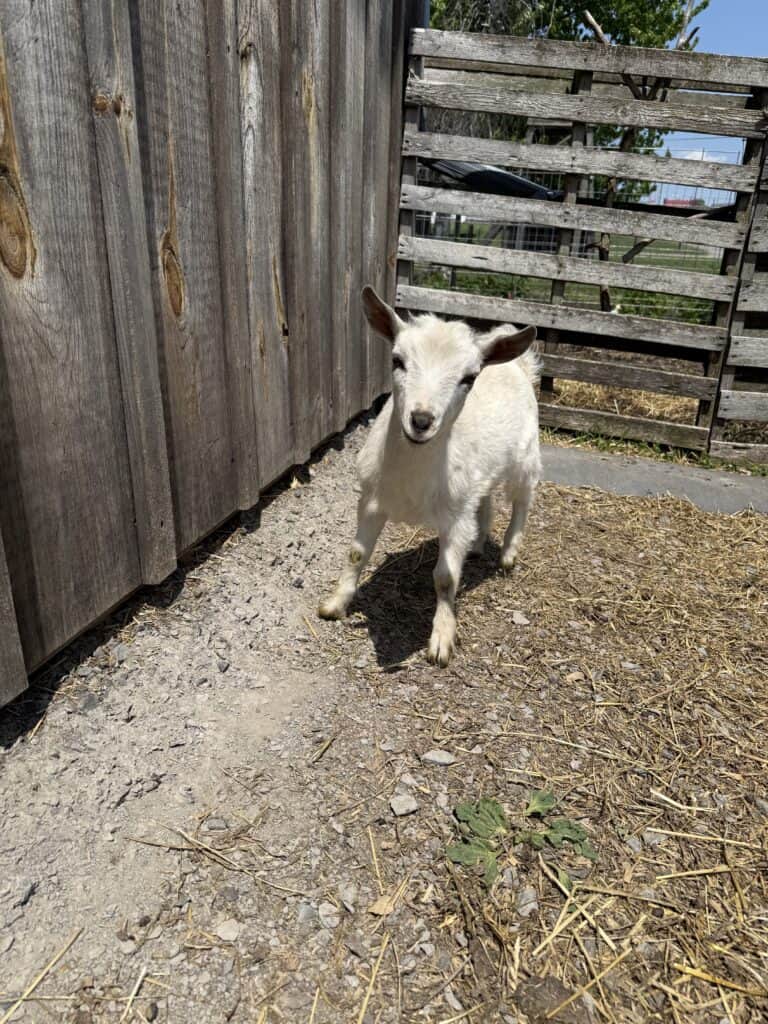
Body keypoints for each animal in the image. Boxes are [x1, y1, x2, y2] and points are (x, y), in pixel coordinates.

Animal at [318, 286, 541, 666]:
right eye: (397, 360)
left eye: (469, 377)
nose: (421, 420)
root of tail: (518, 365)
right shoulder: (371, 499)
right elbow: (356, 553)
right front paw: (335, 604)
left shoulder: (454, 518)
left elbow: (445, 579)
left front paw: (441, 640)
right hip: (480, 476)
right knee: (485, 500)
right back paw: (477, 545)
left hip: (526, 457)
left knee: (522, 501)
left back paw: (508, 554)